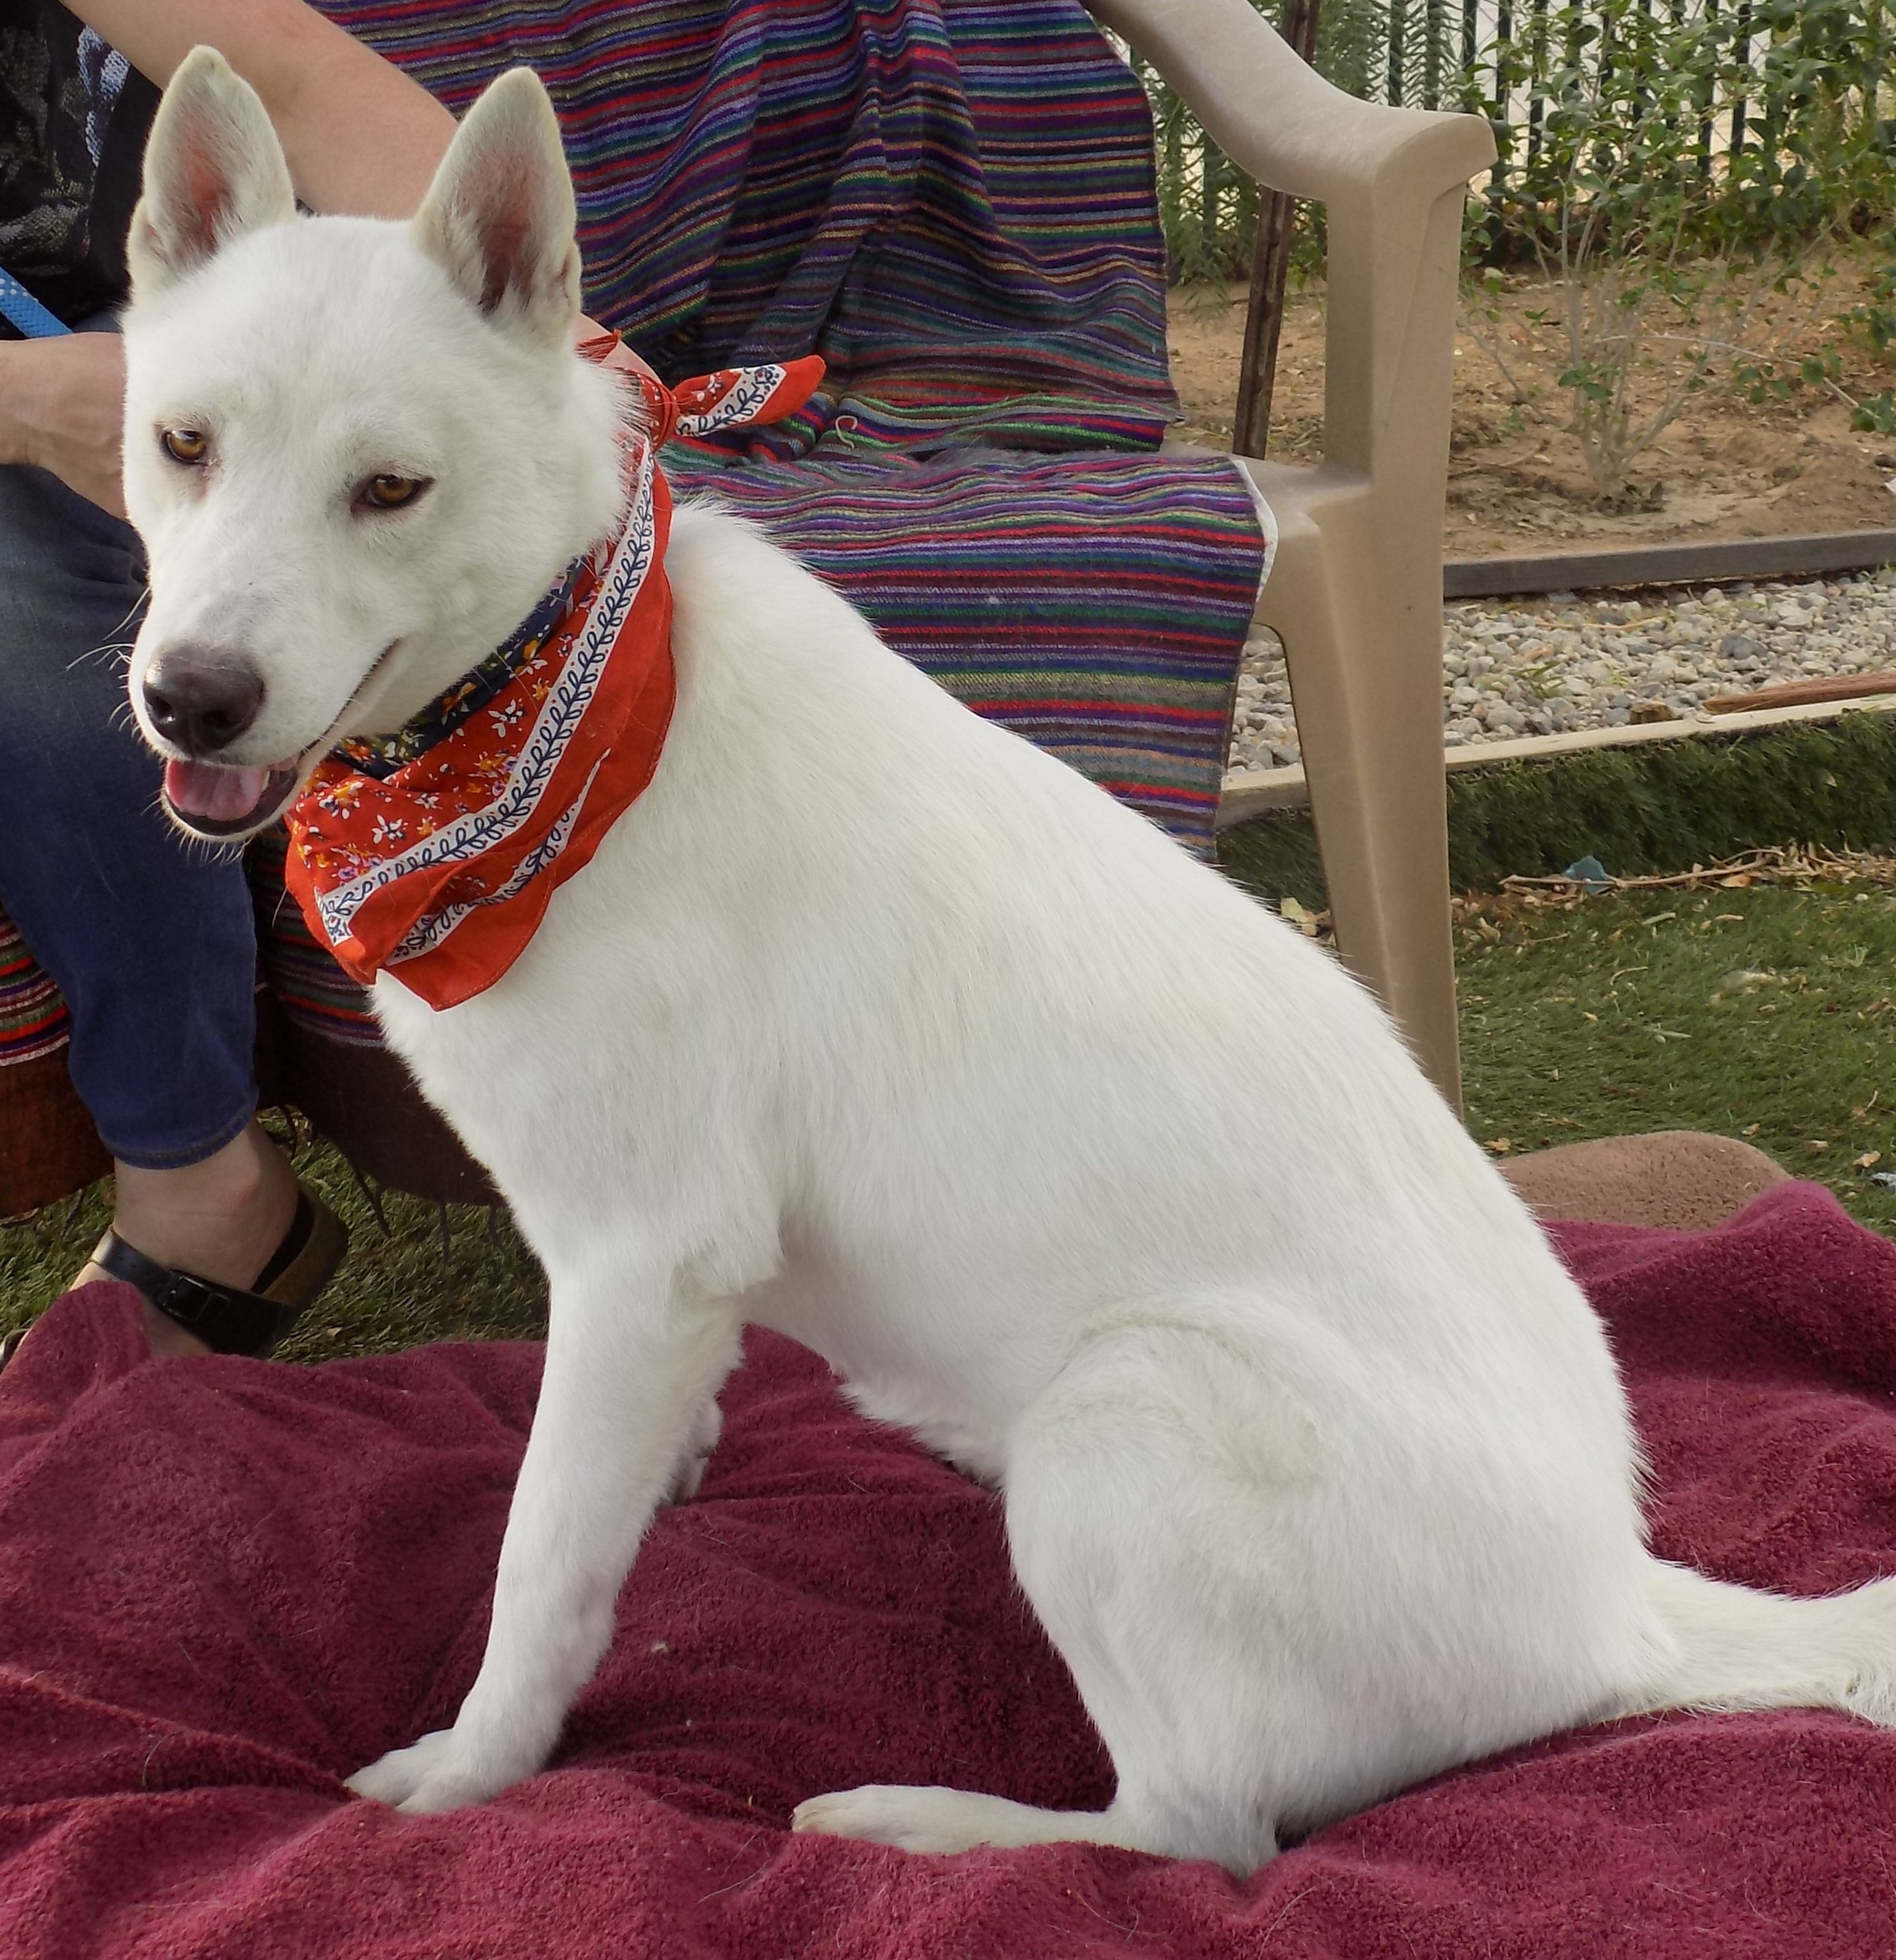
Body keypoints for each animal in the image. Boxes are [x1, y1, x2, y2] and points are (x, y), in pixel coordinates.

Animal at [122, 54, 1896, 1874]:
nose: (191, 698)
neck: (545, 705)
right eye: (184, 444)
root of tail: (1626, 1611)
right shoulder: (642, 1291)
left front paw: (478, 1770)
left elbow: (541, 1564)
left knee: (1197, 1833)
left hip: (1122, 1414)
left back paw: (917, 1820)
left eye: (389, 488)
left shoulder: (642, 1255)